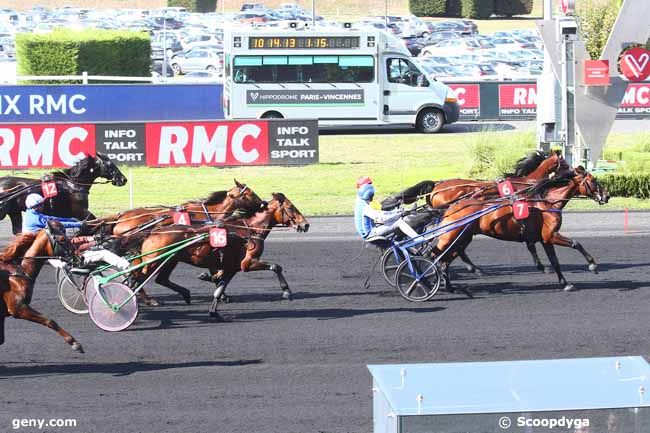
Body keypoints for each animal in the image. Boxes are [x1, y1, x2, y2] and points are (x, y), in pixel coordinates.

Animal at [134, 192, 308, 320]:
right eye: (291, 207)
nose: (305, 224)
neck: (250, 230)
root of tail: (154, 231)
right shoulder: (247, 263)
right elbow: (276, 266)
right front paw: (287, 292)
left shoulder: (232, 267)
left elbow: (219, 288)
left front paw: (214, 312)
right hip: (155, 261)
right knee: (137, 278)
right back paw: (144, 301)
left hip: (169, 260)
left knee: (158, 279)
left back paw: (183, 295)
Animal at [382, 150, 568, 272]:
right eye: (565, 163)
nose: (572, 172)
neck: (526, 183)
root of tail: (436, 184)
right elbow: (530, 241)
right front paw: (542, 266)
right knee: (455, 244)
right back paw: (472, 267)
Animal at [428, 167, 604, 292]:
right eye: (594, 180)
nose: (606, 196)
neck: (547, 202)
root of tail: (452, 207)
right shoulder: (551, 235)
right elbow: (576, 243)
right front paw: (592, 265)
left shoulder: (545, 239)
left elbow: (554, 261)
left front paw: (565, 283)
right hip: (451, 236)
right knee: (433, 255)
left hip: (463, 238)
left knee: (445, 259)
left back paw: (449, 284)